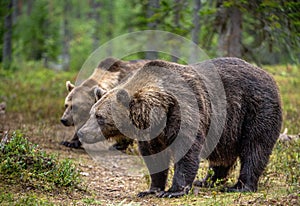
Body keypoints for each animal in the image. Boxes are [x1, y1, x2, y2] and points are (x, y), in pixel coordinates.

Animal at [77, 57, 282, 197]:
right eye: (91, 113)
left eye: (100, 117)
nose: (81, 133)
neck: (156, 115)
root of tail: (268, 75)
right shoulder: (150, 134)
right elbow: (154, 157)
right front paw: (152, 189)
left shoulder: (185, 111)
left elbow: (187, 150)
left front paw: (173, 191)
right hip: (226, 130)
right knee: (221, 156)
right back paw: (206, 181)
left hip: (255, 109)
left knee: (255, 148)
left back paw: (240, 186)